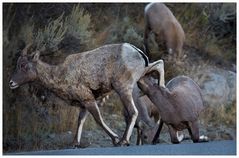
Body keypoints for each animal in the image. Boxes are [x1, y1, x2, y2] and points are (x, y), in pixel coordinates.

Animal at [9, 42, 166, 147]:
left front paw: (115, 139)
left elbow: (98, 120)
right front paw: (75, 144)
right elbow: (80, 121)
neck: (61, 75)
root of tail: (135, 51)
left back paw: (123, 141)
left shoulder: (89, 100)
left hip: (123, 89)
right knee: (159, 64)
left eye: (23, 65)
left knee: (133, 112)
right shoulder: (83, 105)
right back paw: (162, 87)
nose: (11, 83)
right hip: (143, 74)